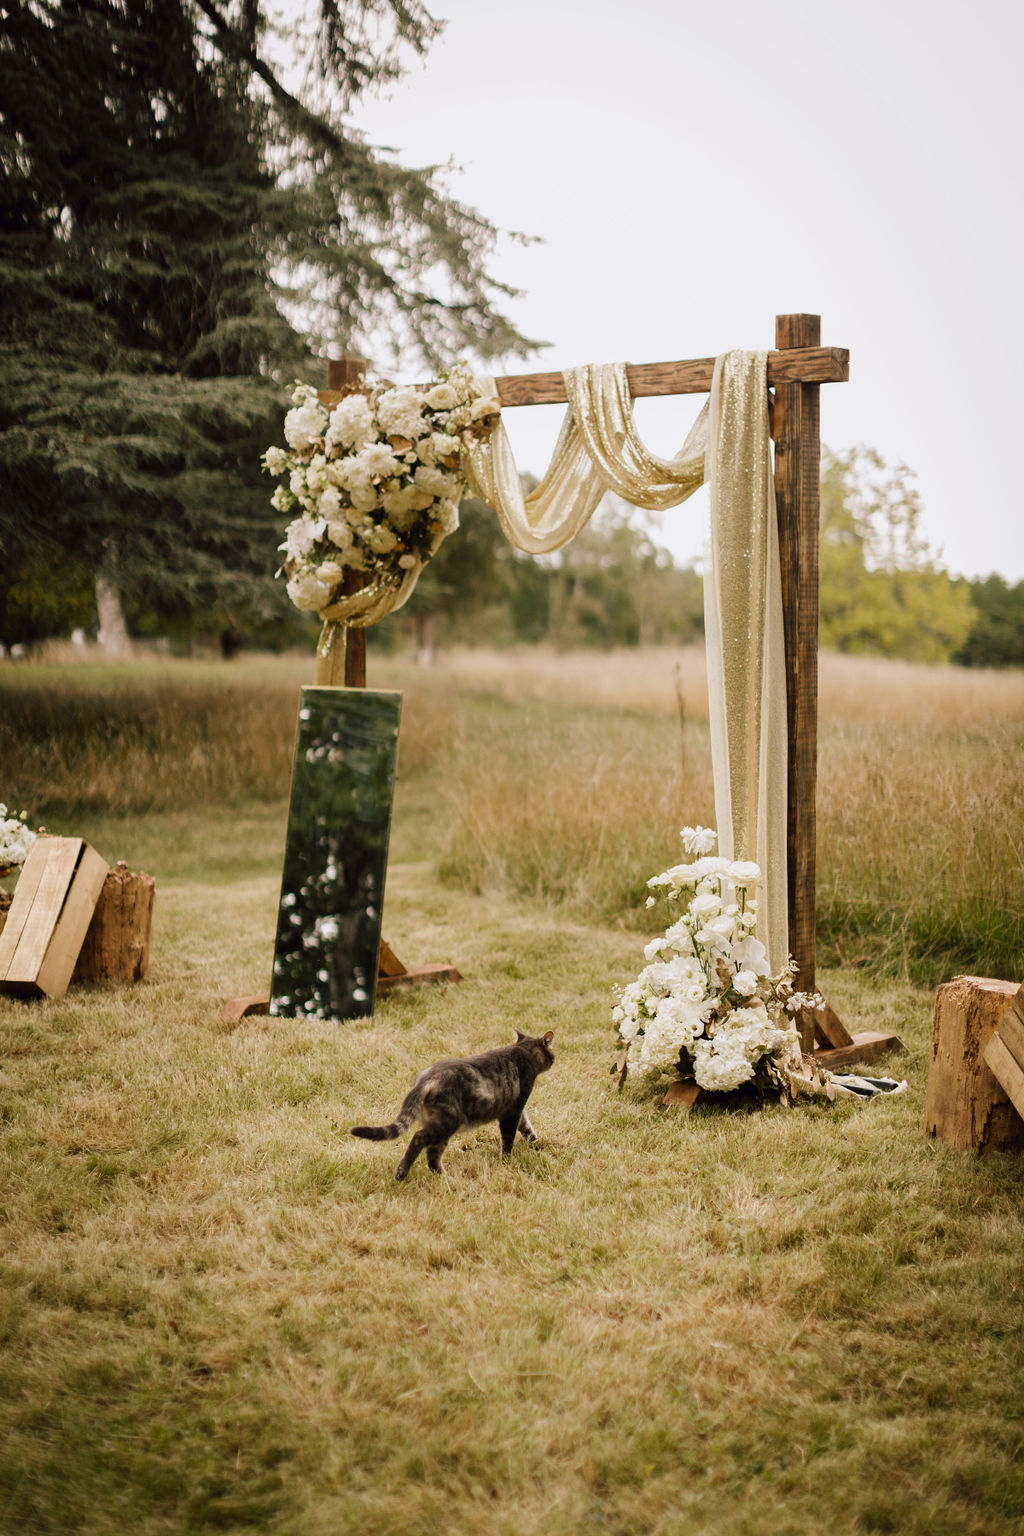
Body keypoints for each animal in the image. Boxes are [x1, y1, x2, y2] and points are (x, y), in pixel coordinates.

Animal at [354, 1026, 561, 1179]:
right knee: (419, 1140)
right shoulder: (512, 1110)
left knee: (432, 1156)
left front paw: (535, 1143)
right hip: (447, 1123)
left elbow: (526, 1127)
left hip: (442, 1128)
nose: (554, 1059)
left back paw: (444, 1177)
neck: (521, 1051)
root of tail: (426, 1079)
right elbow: (509, 1138)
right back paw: (403, 1173)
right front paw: (507, 1160)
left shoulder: (516, 1110)